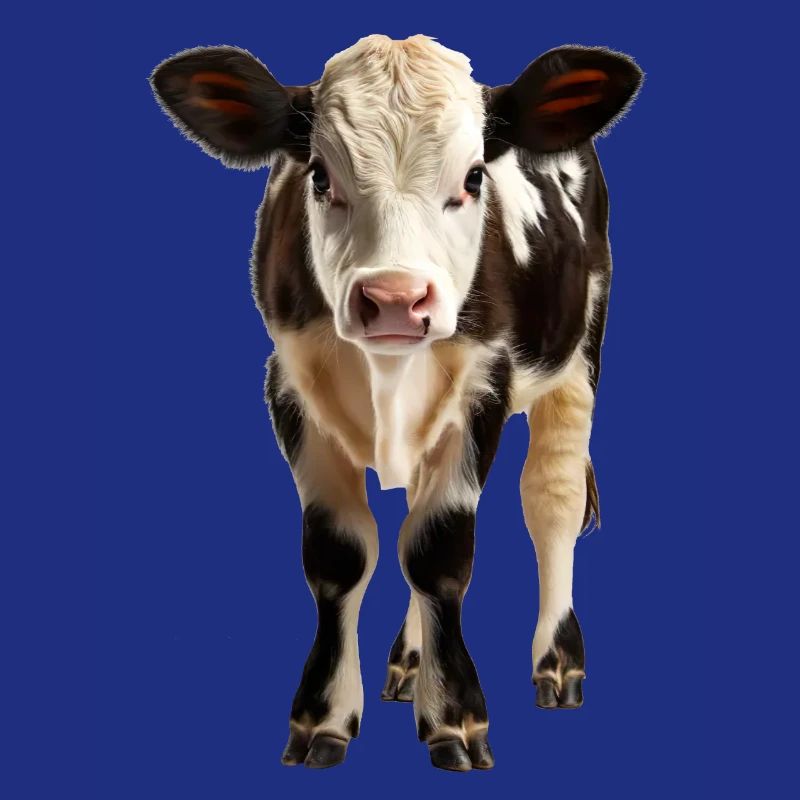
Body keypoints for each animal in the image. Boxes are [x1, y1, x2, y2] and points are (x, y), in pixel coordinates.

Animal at [150, 34, 642, 772]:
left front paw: (457, 720)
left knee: (551, 502)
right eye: (320, 176)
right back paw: (411, 662)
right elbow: (342, 555)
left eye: (474, 178)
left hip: (579, 358)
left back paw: (557, 663)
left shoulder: (483, 385)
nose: (394, 300)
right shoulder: (288, 387)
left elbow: (438, 551)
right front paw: (323, 718)